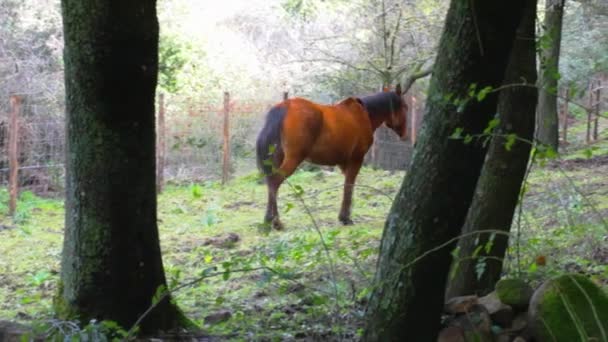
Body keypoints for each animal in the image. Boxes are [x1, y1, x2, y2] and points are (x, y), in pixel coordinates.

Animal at [255, 84, 408, 231]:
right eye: (405, 107)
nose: (405, 134)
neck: (364, 114)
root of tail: (285, 106)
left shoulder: (344, 163)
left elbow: (347, 186)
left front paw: (344, 216)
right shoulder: (356, 159)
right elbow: (349, 186)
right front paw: (345, 218)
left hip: (276, 158)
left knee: (270, 183)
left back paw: (268, 220)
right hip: (293, 159)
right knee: (275, 182)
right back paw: (276, 222)